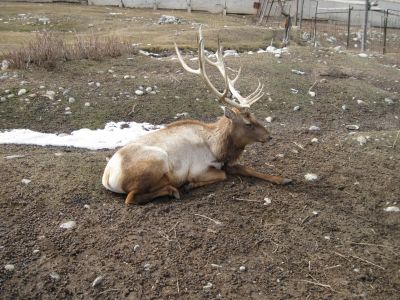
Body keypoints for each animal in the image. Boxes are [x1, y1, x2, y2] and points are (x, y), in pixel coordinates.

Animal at [102, 27, 290, 205]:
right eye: (247, 123)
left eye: (255, 117)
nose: (269, 136)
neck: (217, 148)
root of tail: (107, 178)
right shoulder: (199, 168)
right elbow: (221, 175)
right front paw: (189, 184)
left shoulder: (226, 163)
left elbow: (246, 168)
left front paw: (283, 179)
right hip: (157, 160)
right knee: (131, 197)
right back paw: (173, 190)